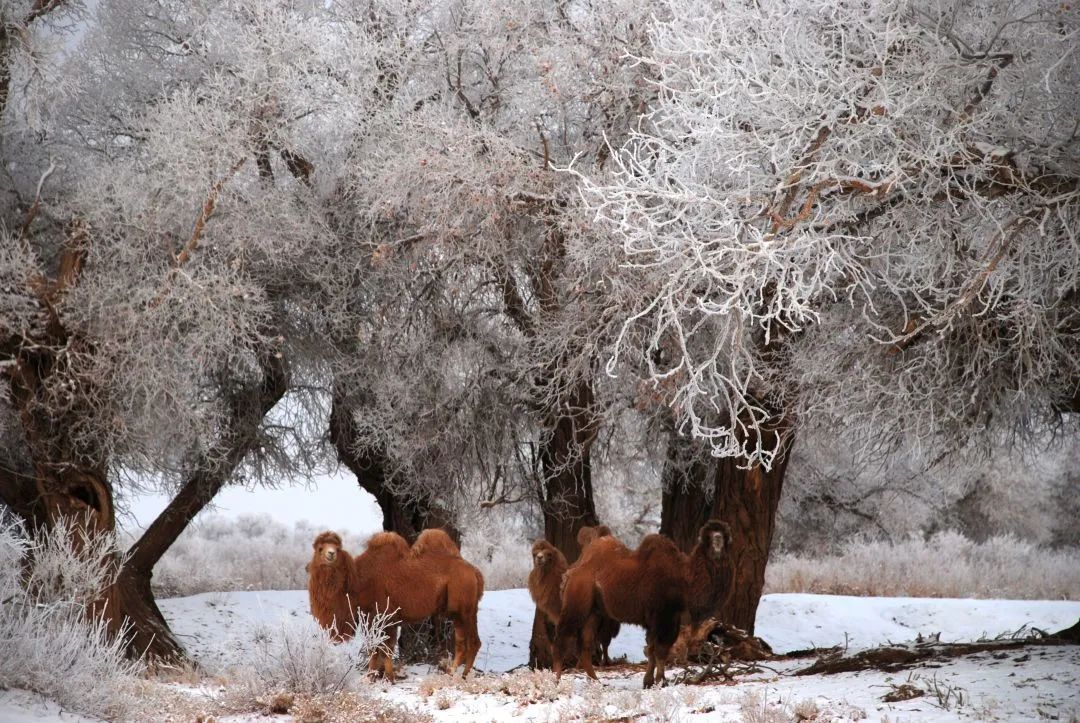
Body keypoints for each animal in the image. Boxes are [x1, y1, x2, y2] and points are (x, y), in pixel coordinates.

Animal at [557, 520, 734, 687]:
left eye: (725, 534)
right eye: (708, 535)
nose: (718, 538)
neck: (683, 578)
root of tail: (572, 571)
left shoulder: (667, 618)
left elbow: (653, 648)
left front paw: (649, 682)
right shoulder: (663, 616)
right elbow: (660, 649)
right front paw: (660, 681)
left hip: (594, 612)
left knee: (585, 646)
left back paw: (597, 682)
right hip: (577, 602)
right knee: (563, 637)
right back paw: (556, 681)